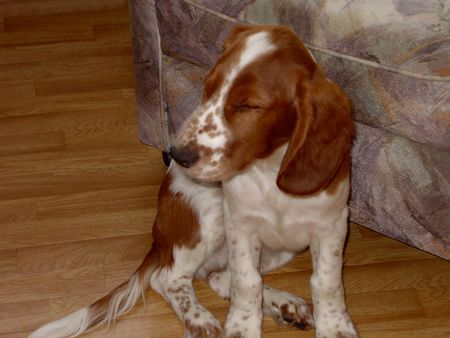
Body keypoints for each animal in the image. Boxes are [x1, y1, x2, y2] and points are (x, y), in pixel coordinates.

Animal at [29, 24, 356, 338]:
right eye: (207, 88)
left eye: (249, 106)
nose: (178, 154)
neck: (268, 167)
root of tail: (159, 237)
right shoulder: (239, 222)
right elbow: (246, 281)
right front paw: (242, 328)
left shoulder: (332, 225)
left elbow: (326, 281)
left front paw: (335, 327)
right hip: (208, 214)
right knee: (169, 276)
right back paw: (199, 320)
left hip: (282, 248)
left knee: (218, 278)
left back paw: (287, 306)